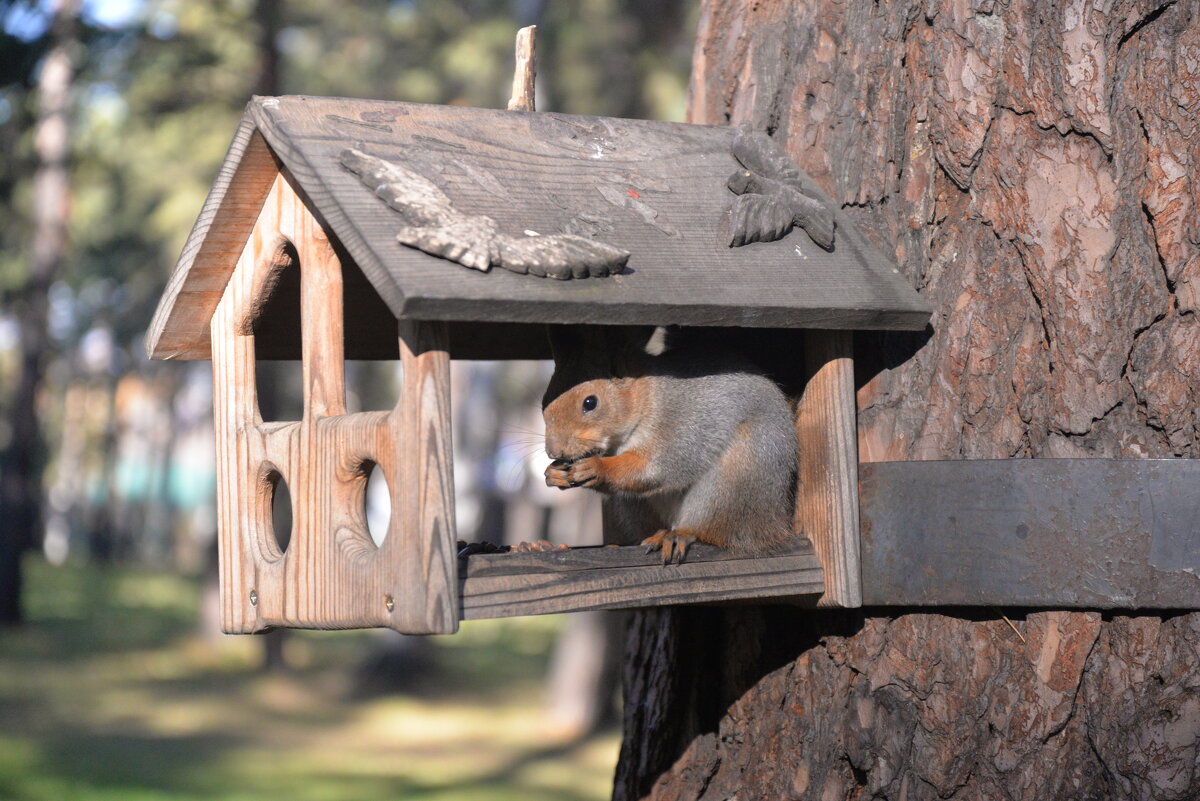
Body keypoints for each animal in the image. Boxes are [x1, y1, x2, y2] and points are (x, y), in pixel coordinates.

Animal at [542, 326, 796, 563]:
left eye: (590, 402)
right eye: (544, 401)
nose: (553, 451)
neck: (648, 397)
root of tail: (775, 524)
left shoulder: (679, 425)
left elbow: (656, 467)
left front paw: (597, 467)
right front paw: (553, 474)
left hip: (739, 475)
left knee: (714, 531)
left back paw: (678, 535)